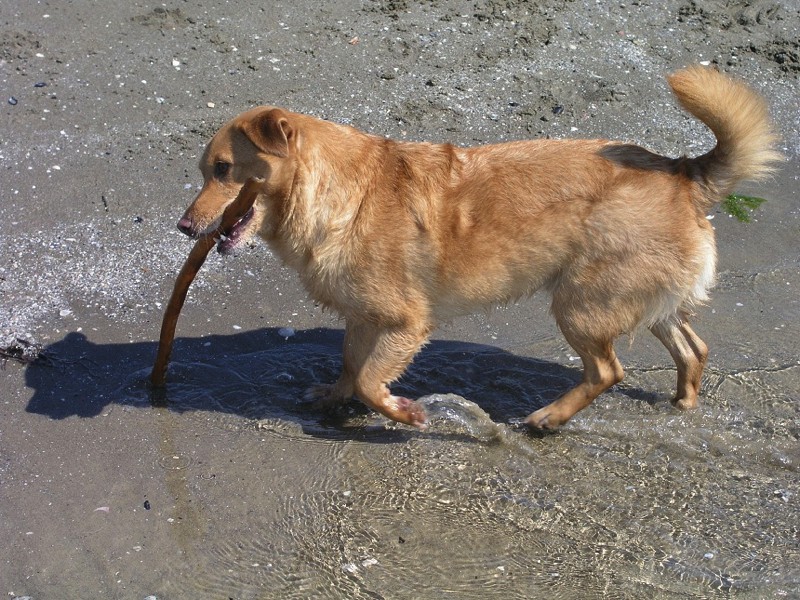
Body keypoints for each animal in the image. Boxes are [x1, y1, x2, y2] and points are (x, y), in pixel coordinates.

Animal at [177, 66, 780, 430]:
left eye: (223, 170)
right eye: (206, 171)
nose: (184, 227)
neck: (339, 191)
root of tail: (683, 173)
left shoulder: (405, 323)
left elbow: (371, 380)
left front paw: (401, 413)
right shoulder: (364, 318)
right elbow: (351, 365)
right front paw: (333, 397)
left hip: (580, 307)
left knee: (607, 372)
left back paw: (548, 418)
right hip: (643, 303)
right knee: (692, 348)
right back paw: (683, 402)